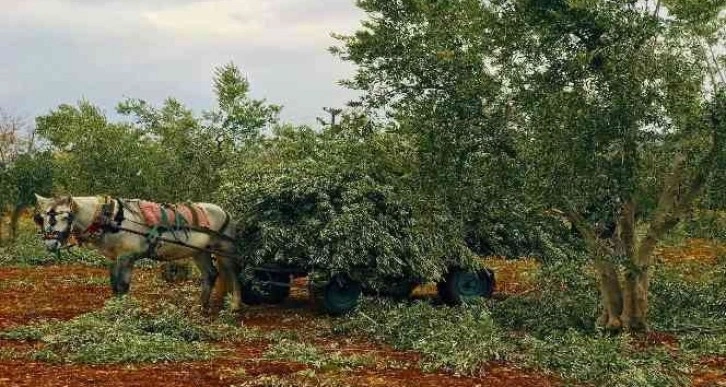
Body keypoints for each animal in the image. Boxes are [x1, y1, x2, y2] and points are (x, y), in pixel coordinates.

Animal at [34, 196, 243, 314]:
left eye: (65, 217)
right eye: (41, 218)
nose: (50, 243)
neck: (112, 219)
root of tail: (225, 211)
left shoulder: (127, 257)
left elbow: (123, 285)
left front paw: (123, 311)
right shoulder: (114, 258)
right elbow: (114, 285)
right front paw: (113, 308)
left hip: (224, 249)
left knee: (233, 273)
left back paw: (235, 305)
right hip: (199, 252)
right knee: (210, 275)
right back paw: (200, 306)